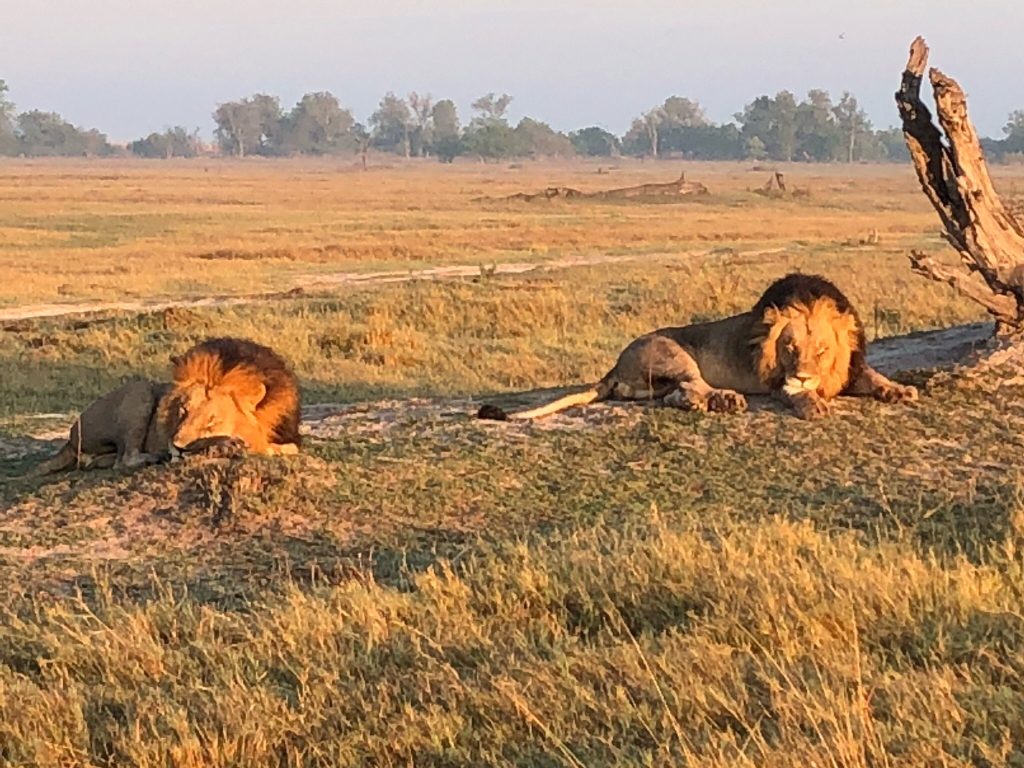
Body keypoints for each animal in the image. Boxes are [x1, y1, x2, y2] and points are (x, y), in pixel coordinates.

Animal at [33, 337, 301, 476]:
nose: (177, 447)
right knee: (125, 459)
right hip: (140, 390)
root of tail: (69, 437)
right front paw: (228, 445)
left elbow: (288, 448)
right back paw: (156, 456)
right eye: (183, 410)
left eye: (212, 421)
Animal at [477, 273, 918, 422]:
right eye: (789, 348)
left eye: (822, 349)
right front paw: (812, 403)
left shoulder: (851, 366)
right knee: (692, 387)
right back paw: (727, 400)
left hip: (656, 385)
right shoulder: (777, 381)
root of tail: (615, 366)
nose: (804, 375)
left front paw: (899, 390)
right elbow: (793, 394)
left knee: (678, 397)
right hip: (675, 353)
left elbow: (873, 375)